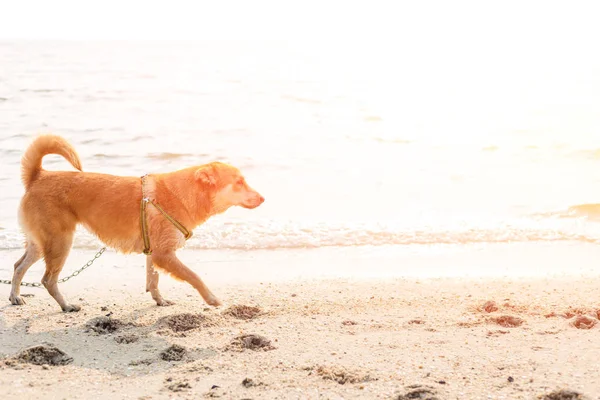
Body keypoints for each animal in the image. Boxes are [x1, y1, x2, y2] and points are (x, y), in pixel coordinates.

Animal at [8, 134, 264, 312]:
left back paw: (15, 296)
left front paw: (159, 300)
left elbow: (154, 279)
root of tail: (38, 175)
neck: (182, 195)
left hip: (41, 243)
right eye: (239, 182)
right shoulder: (164, 254)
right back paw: (66, 305)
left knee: (18, 266)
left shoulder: (154, 252)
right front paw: (212, 298)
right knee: (47, 280)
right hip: (60, 242)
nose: (263, 198)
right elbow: (194, 276)